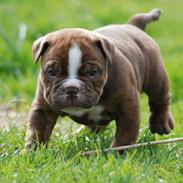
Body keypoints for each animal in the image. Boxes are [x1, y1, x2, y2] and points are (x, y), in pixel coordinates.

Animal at [24, 8, 174, 150]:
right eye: (52, 72)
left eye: (93, 72)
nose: (71, 89)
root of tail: (133, 25)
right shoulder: (43, 109)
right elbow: (37, 131)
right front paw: (33, 152)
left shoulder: (128, 107)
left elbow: (125, 133)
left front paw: (118, 152)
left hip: (156, 76)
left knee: (160, 99)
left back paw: (161, 123)